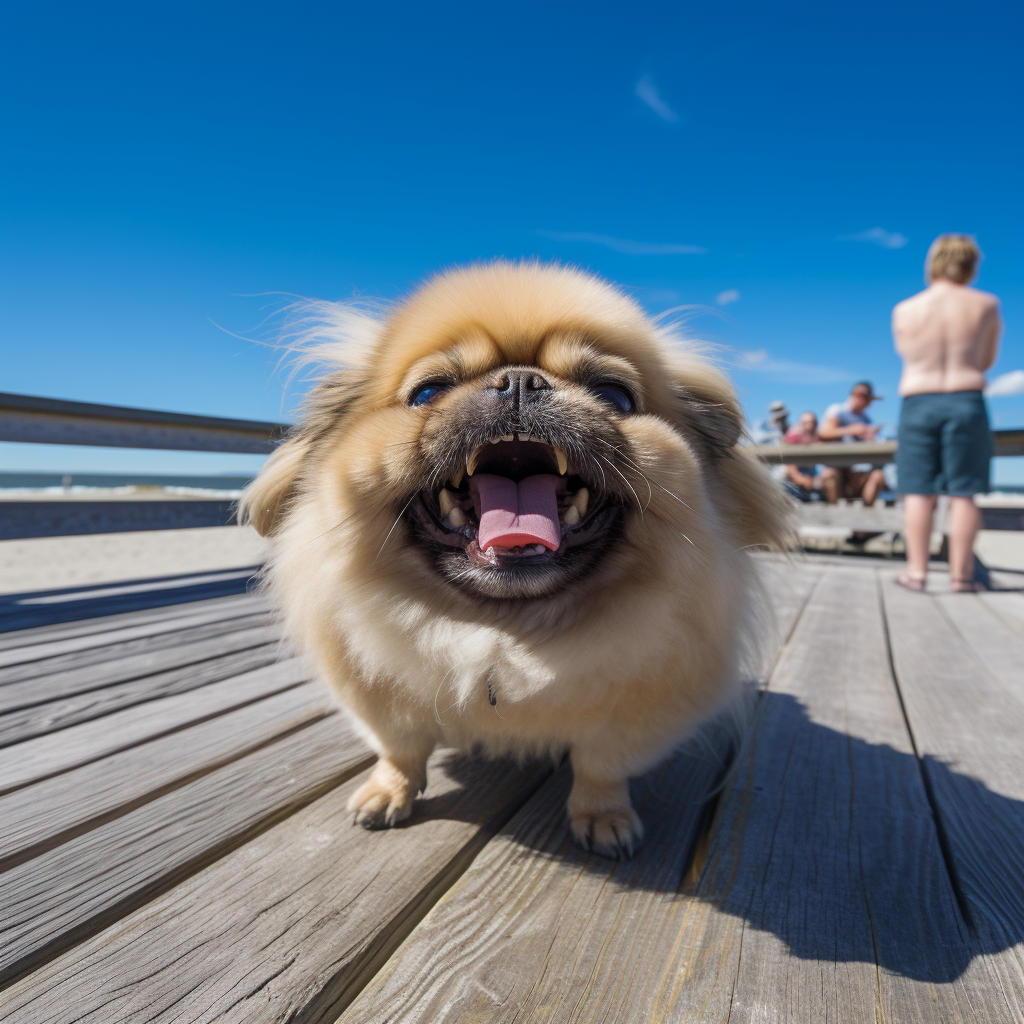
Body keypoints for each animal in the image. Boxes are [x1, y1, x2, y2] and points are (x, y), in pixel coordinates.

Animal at [241, 262, 790, 856]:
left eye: (615, 396)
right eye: (428, 392)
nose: (521, 382)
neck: (503, 632)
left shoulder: (639, 711)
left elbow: (601, 768)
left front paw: (603, 817)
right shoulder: (377, 697)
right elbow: (400, 750)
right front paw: (389, 792)